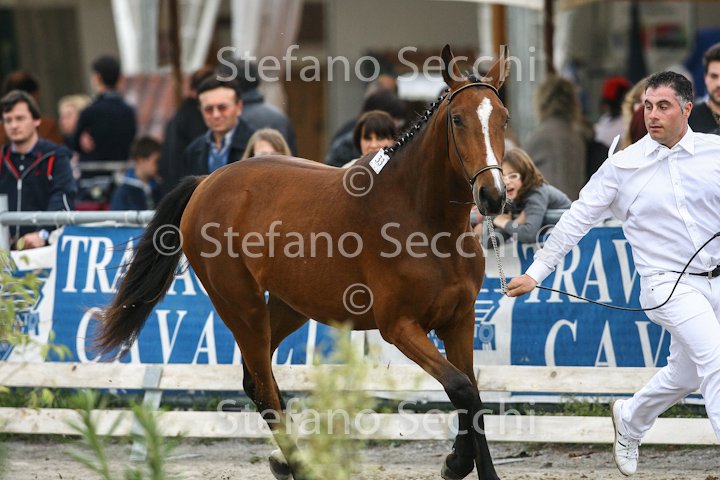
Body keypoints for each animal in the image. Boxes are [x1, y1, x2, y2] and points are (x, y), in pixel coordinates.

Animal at [96, 45, 510, 480]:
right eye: (457, 118)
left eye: (503, 118)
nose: (493, 196)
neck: (425, 221)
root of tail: (206, 182)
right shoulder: (399, 326)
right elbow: (461, 388)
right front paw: (457, 463)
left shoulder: (459, 319)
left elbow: (471, 391)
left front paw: (467, 463)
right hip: (241, 307)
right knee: (262, 386)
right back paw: (299, 466)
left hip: (287, 306)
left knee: (257, 380)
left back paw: (288, 461)